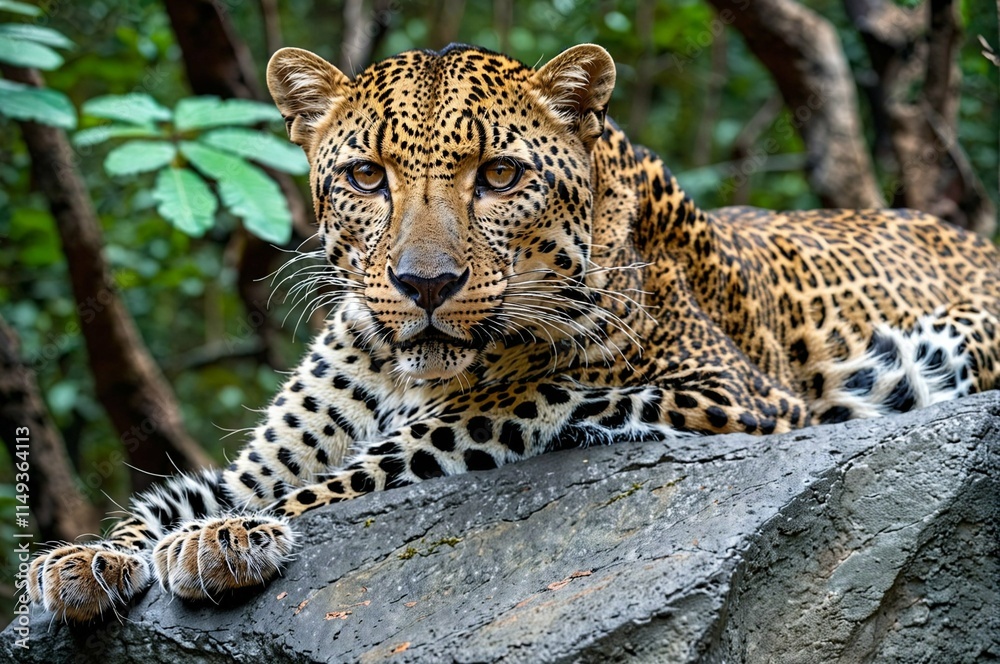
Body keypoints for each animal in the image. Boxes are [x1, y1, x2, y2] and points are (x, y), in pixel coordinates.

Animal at [28, 43, 999, 623]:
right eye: (366, 176)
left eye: (499, 175)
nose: (425, 285)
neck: (405, 367)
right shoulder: (267, 457)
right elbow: (187, 495)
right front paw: (83, 560)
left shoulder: (732, 394)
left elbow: (374, 469)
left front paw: (224, 542)